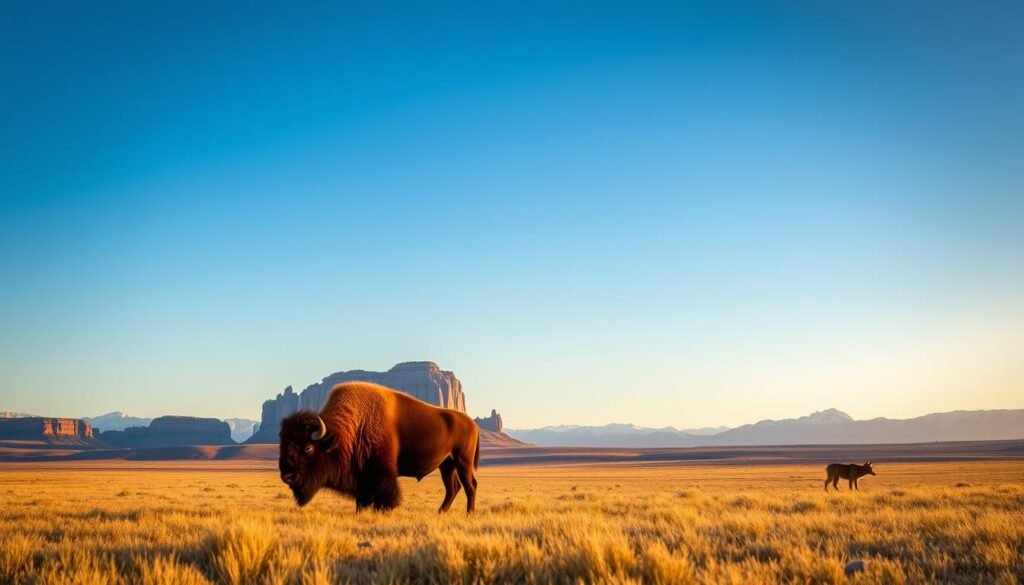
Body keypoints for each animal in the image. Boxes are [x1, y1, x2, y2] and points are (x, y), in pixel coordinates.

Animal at [278, 381, 480, 512]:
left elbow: (386, 495)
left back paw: (469, 513)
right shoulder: (361, 479)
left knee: (470, 486)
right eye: (283, 444)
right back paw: (441, 512)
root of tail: (472, 423)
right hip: (446, 464)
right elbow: (362, 500)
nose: (286, 476)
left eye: (308, 448)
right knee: (453, 488)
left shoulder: (382, 473)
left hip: (463, 461)